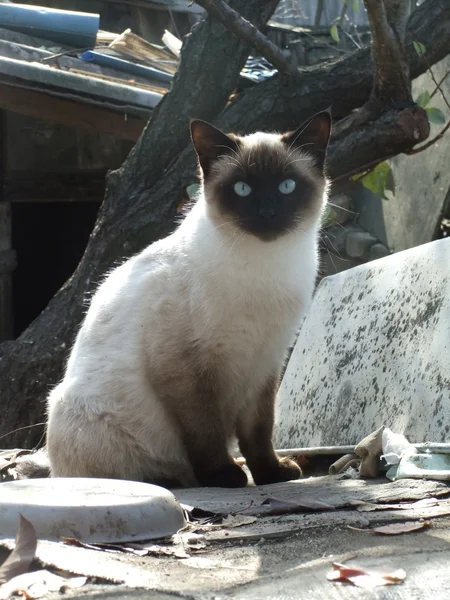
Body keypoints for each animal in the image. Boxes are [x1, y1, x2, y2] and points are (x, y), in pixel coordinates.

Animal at [45, 112, 332, 488]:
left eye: (287, 186)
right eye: (242, 189)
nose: (267, 213)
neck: (266, 268)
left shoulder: (265, 361)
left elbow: (259, 432)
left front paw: (271, 474)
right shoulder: (184, 367)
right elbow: (204, 430)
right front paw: (225, 476)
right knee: (132, 472)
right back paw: (172, 480)